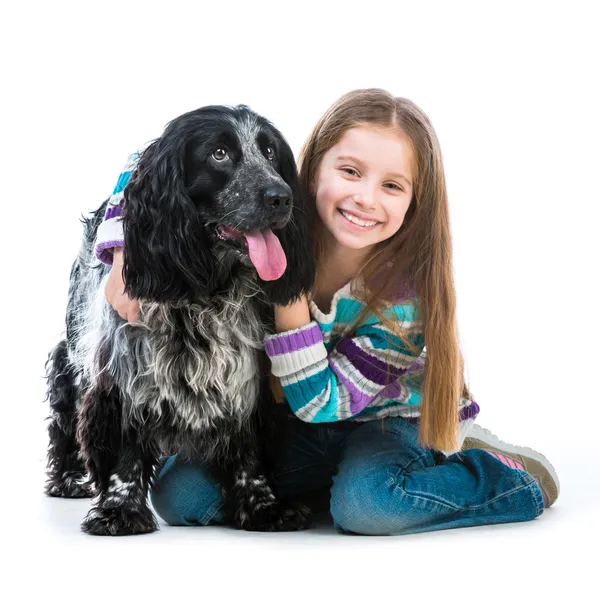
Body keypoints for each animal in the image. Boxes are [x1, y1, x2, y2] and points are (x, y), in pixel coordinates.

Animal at [43, 104, 314, 536]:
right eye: (219, 154)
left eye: (270, 152)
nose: (282, 197)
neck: (203, 290)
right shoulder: (122, 375)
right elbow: (125, 445)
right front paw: (119, 509)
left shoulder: (248, 379)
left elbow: (249, 449)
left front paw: (263, 507)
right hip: (72, 347)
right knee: (65, 407)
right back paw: (68, 479)